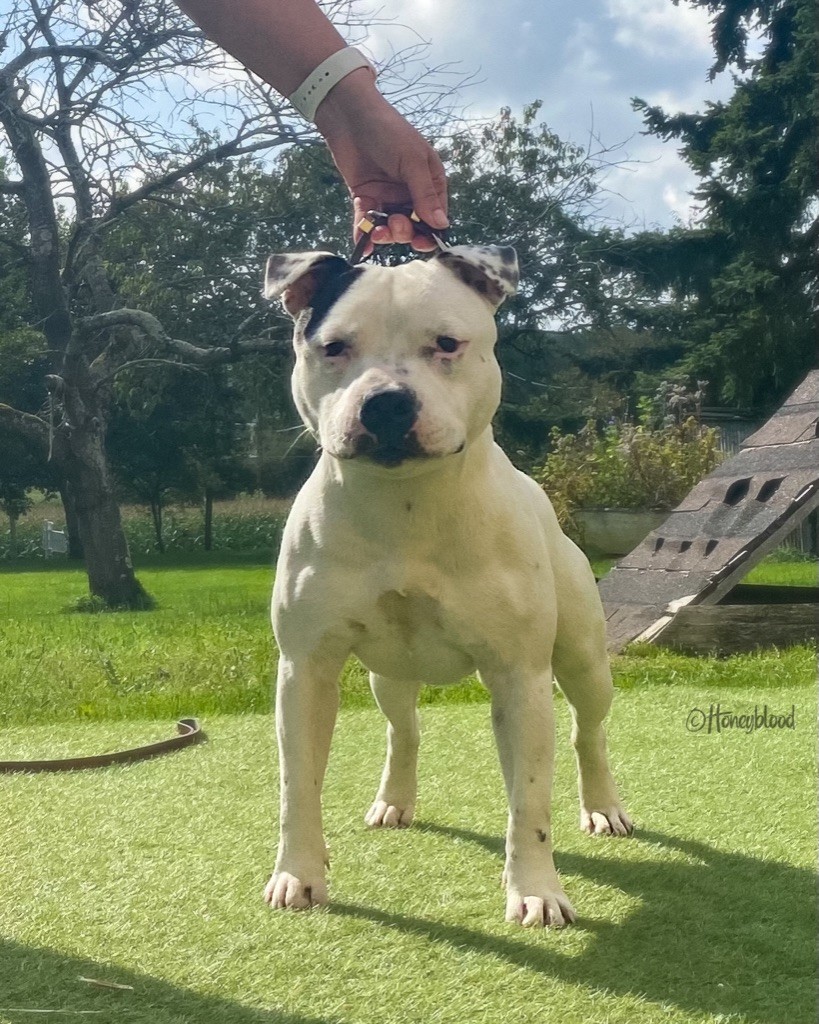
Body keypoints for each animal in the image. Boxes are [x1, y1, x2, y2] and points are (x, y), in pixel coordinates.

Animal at [262, 245, 634, 929]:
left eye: (446, 344)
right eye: (333, 347)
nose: (385, 402)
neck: (405, 504)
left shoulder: (519, 677)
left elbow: (530, 804)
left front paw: (536, 890)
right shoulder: (305, 671)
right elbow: (298, 786)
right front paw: (297, 875)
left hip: (583, 660)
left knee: (587, 731)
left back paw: (602, 807)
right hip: (387, 674)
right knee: (402, 730)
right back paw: (394, 801)